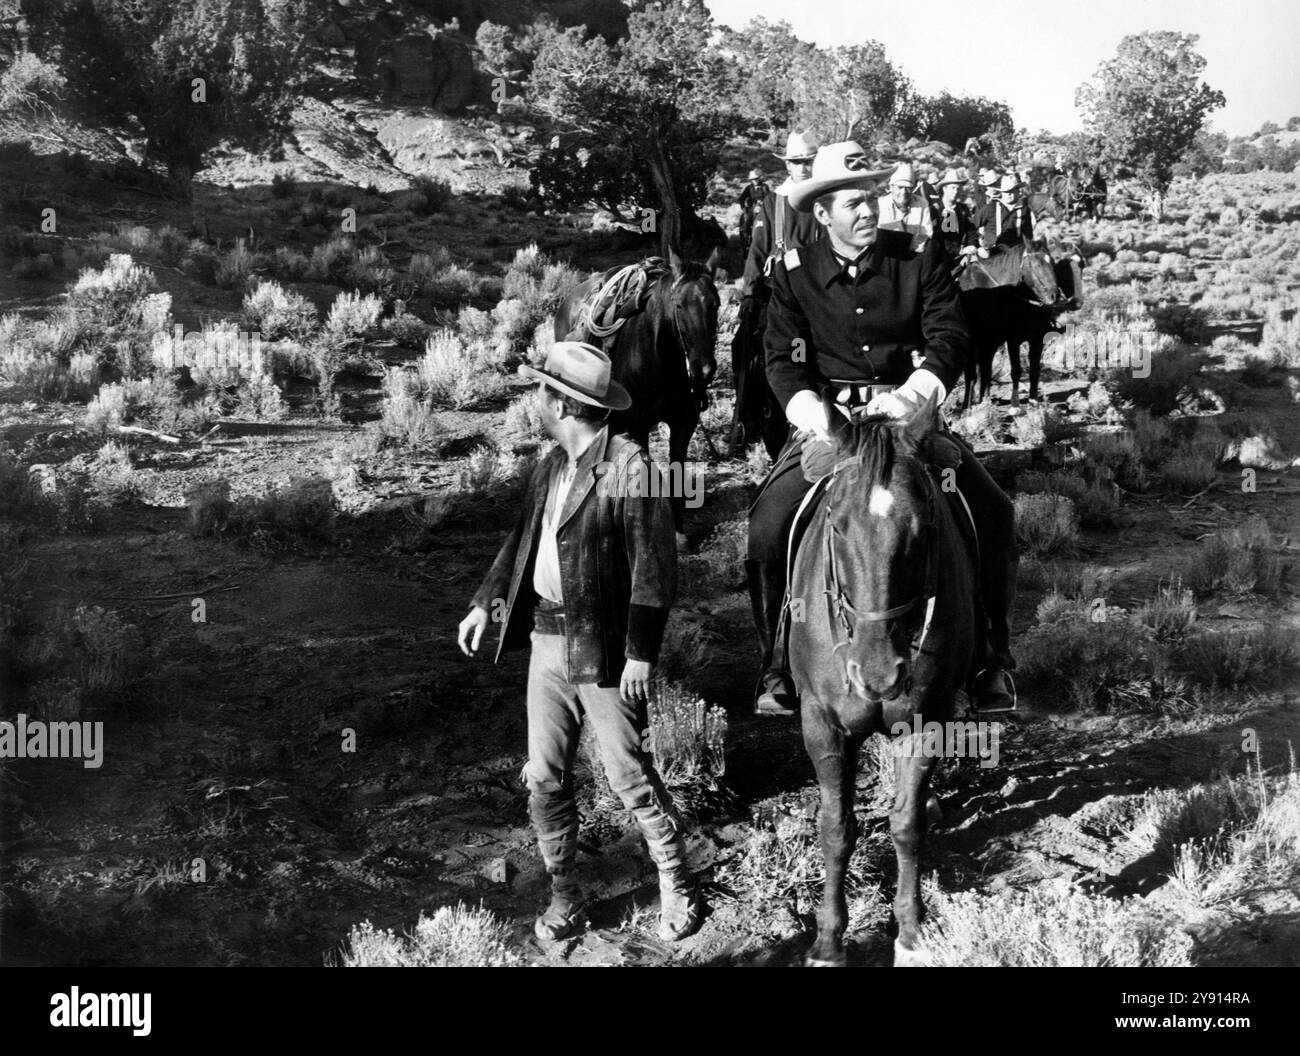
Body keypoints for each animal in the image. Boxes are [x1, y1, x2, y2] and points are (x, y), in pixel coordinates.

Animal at [553, 250, 722, 535]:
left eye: (715, 305)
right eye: (678, 305)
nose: (704, 369)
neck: (659, 358)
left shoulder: (684, 422)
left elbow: (676, 472)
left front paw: (678, 530)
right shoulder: (638, 425)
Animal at [790, 392, 977, 967]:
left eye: (924, 526)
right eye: (835, 524)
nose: (877, 674)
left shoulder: (925, 721)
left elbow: (907, 824)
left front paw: (913, 933)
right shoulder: (822, 724)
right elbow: (835, 829)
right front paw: (829, 941)